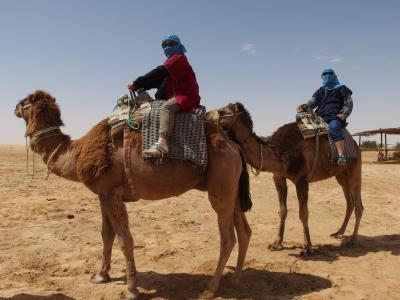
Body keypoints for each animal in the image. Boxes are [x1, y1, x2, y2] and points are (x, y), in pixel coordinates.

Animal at [15, 89, 255, 300]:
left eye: (25, 100)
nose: (15, 107)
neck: (75, 154)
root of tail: (234, 146)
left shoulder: (111, 193)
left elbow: (125, 240)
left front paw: (131, 290)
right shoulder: (103, 194)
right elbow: (106, 234)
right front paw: (101, 275)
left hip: (221, 189)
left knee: (227, 239)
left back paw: (210, 289)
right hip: (231, 190)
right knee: (244, 231)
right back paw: (236, 278)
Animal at [214, 103, 364, 255]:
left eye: (222, 111)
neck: (279, 152)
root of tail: (354, 143)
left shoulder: (301, 179)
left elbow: (303, 213)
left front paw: (307, 247)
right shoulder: (278, 177)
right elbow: (282, 211)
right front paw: (276, 243)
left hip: (354, 168)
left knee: (358, 204)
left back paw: (352, 240)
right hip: (341, 174)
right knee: (349, 202)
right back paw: (339, 233)